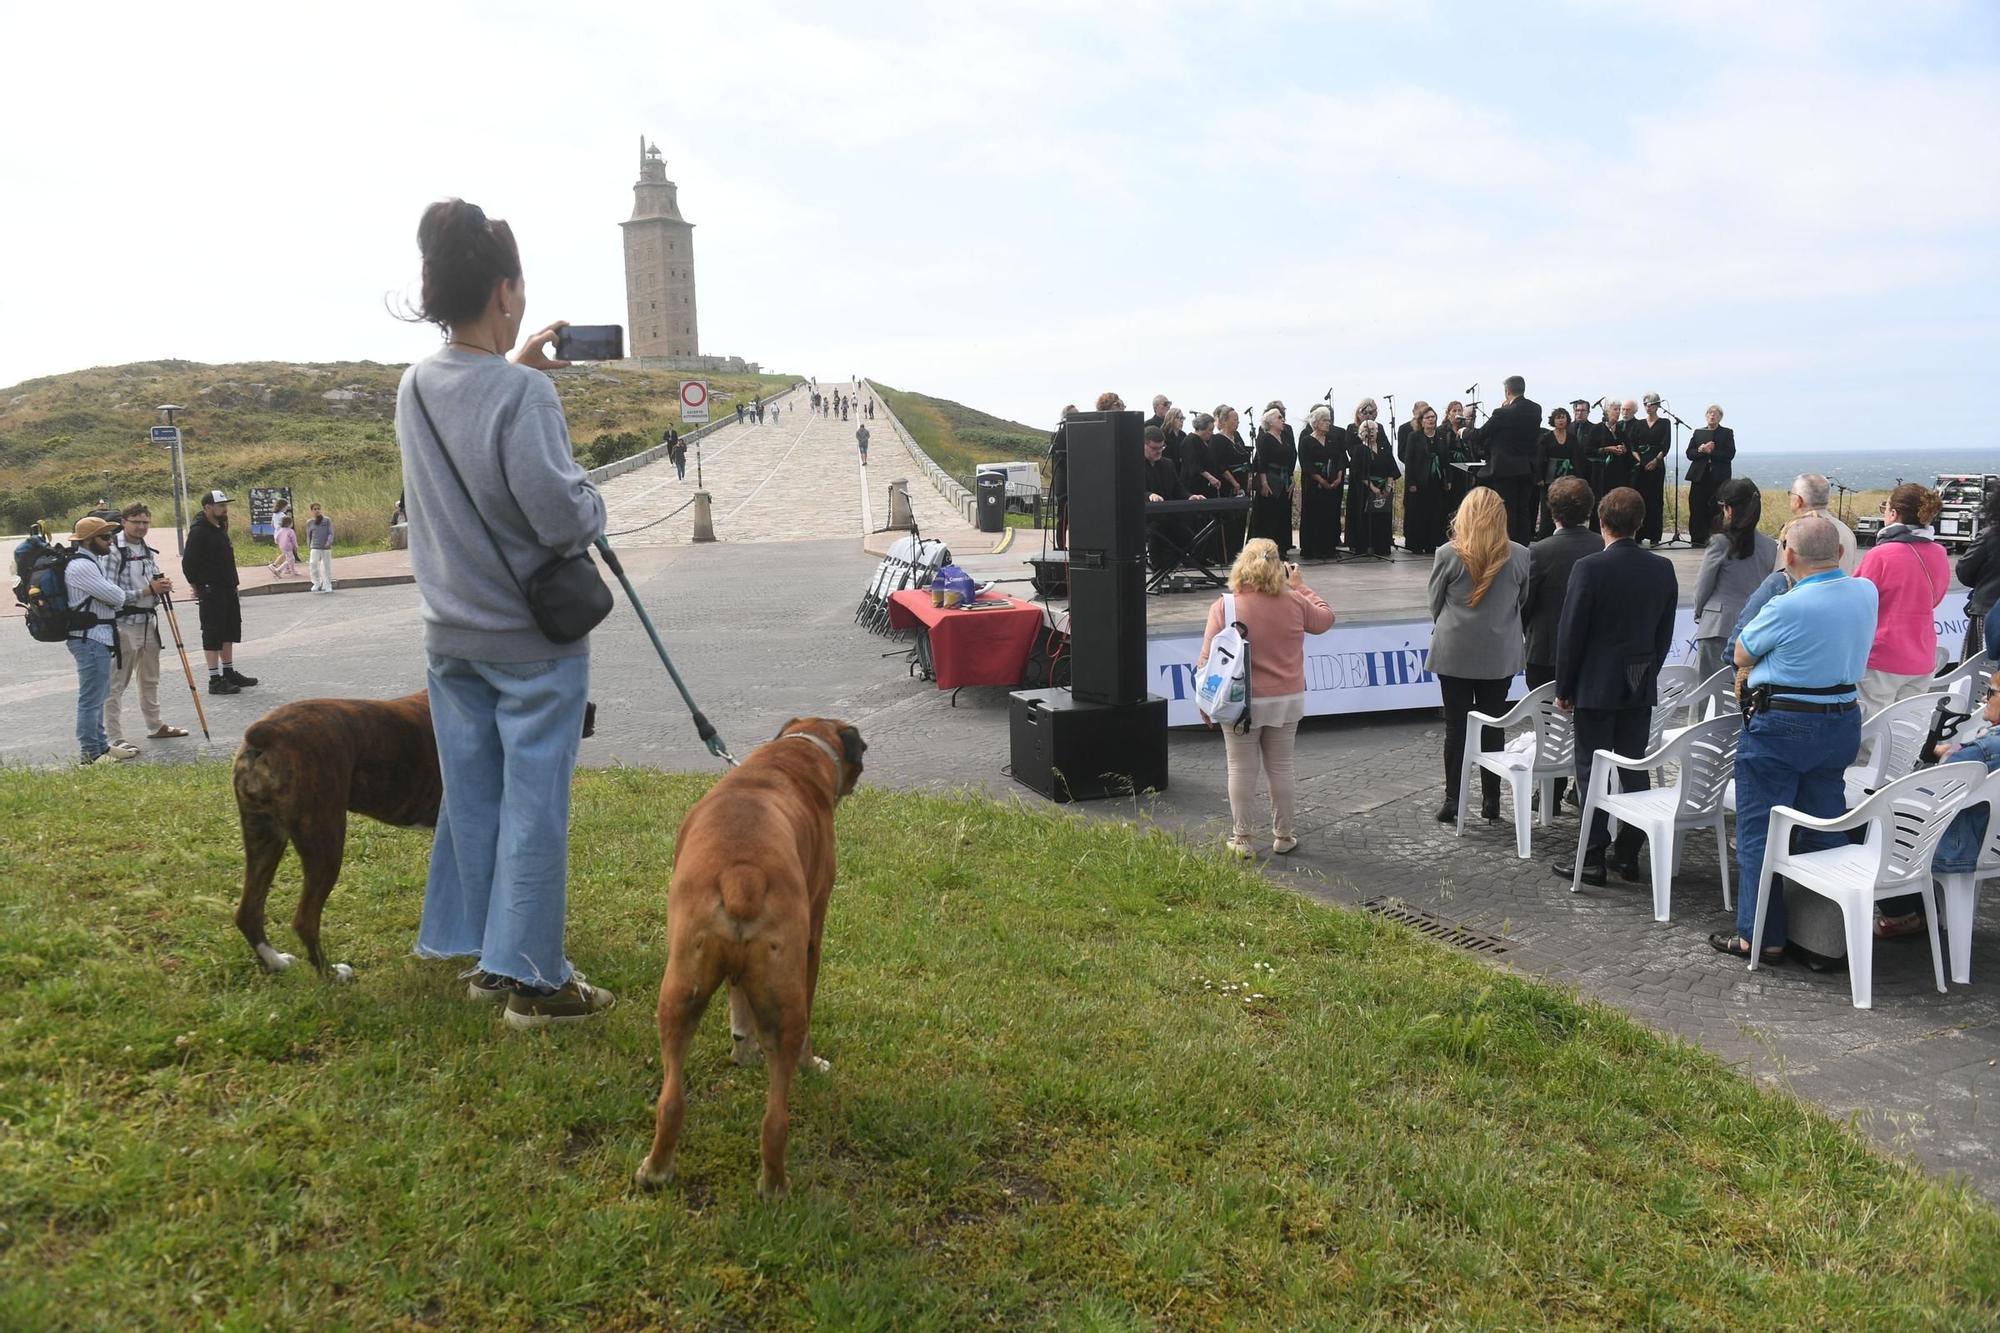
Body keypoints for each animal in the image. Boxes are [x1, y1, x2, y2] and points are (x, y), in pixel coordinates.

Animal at [636, 716, 864, 1192]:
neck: (792, 756)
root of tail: (743, 876)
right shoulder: (814, 935)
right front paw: (811, 1063)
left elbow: (738, 1004)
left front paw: (743, 1050)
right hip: (785, 995)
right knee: (781, 1099)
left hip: (680, 991)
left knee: (676, 1102)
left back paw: (659, 1169)